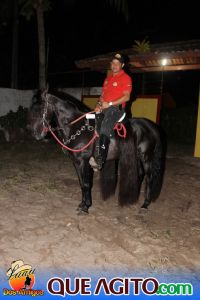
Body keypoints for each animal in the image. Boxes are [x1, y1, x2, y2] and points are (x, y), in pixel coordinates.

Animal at [27, 91, 166, 213]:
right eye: (31, 109)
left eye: (41, 109)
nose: (36, 134)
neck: (76, 127)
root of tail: (151, 127)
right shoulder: (76, 162)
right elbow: (81, 183)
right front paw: (82, 204)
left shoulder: (83, 161)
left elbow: (86, 184)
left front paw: (85, 207)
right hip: (136, 156)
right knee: (140, 174)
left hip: (146, 157)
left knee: (149, 177)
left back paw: (145, 205)